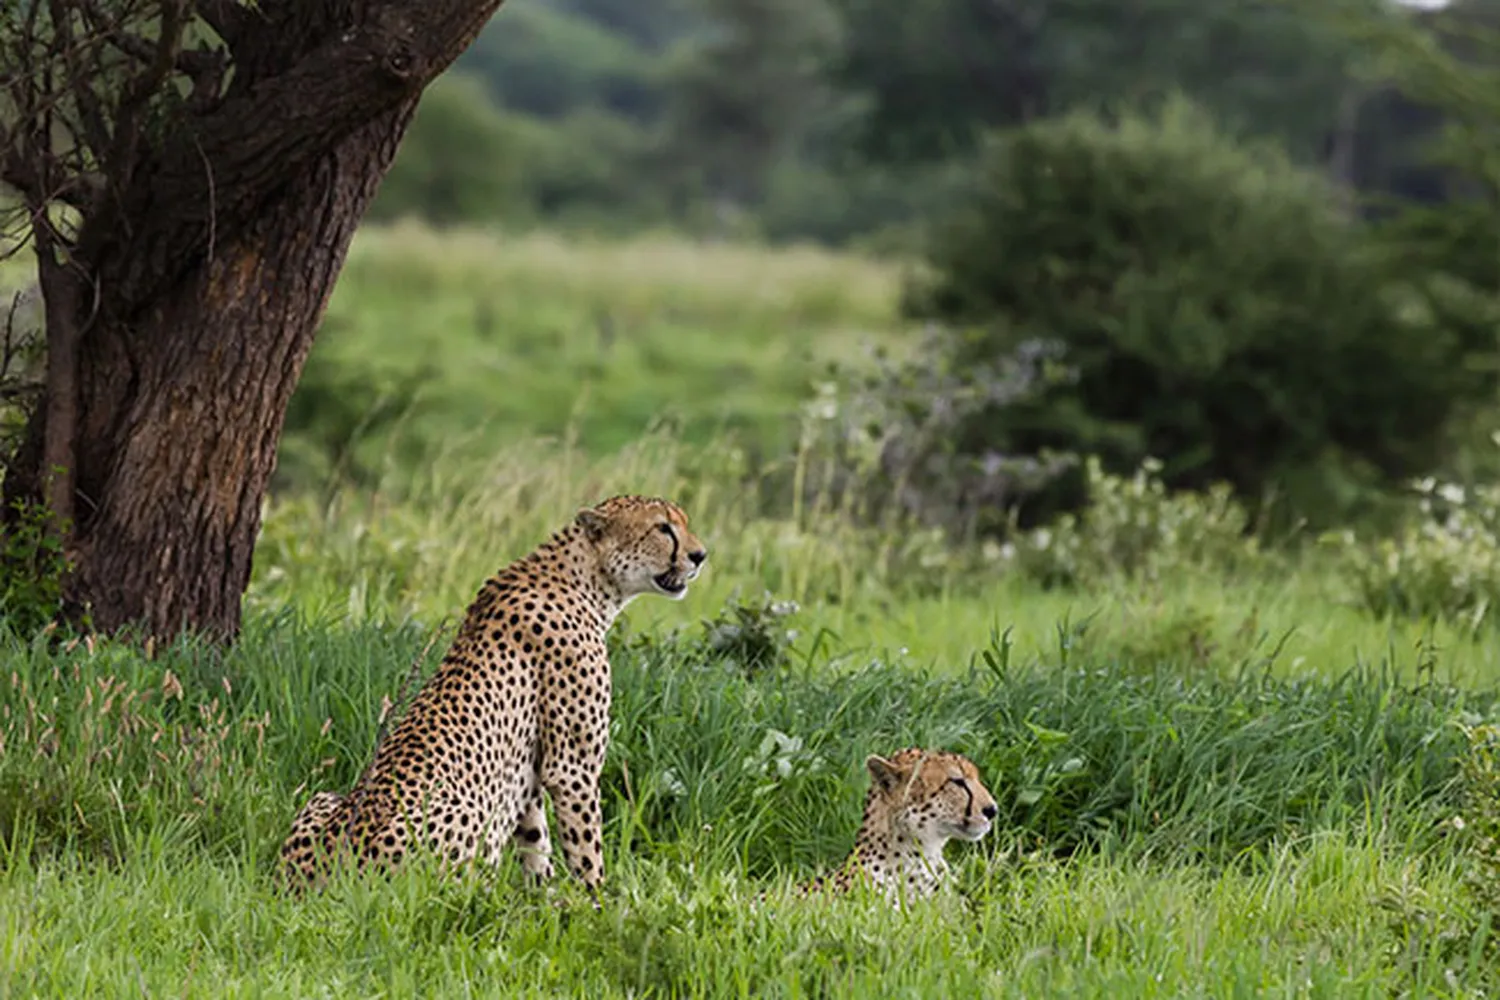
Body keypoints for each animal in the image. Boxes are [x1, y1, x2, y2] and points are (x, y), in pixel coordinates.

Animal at [279, 494, 707, 899]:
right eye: (663, 528)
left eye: (684, 523)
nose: (700, 556)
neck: (585, 580)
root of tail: (312, 885)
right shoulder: (572, 769)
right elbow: (587, 850)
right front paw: (596, 904)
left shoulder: (527, 773)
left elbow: (536, 844)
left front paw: (545, 901)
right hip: (466, 816)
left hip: (322, 798)